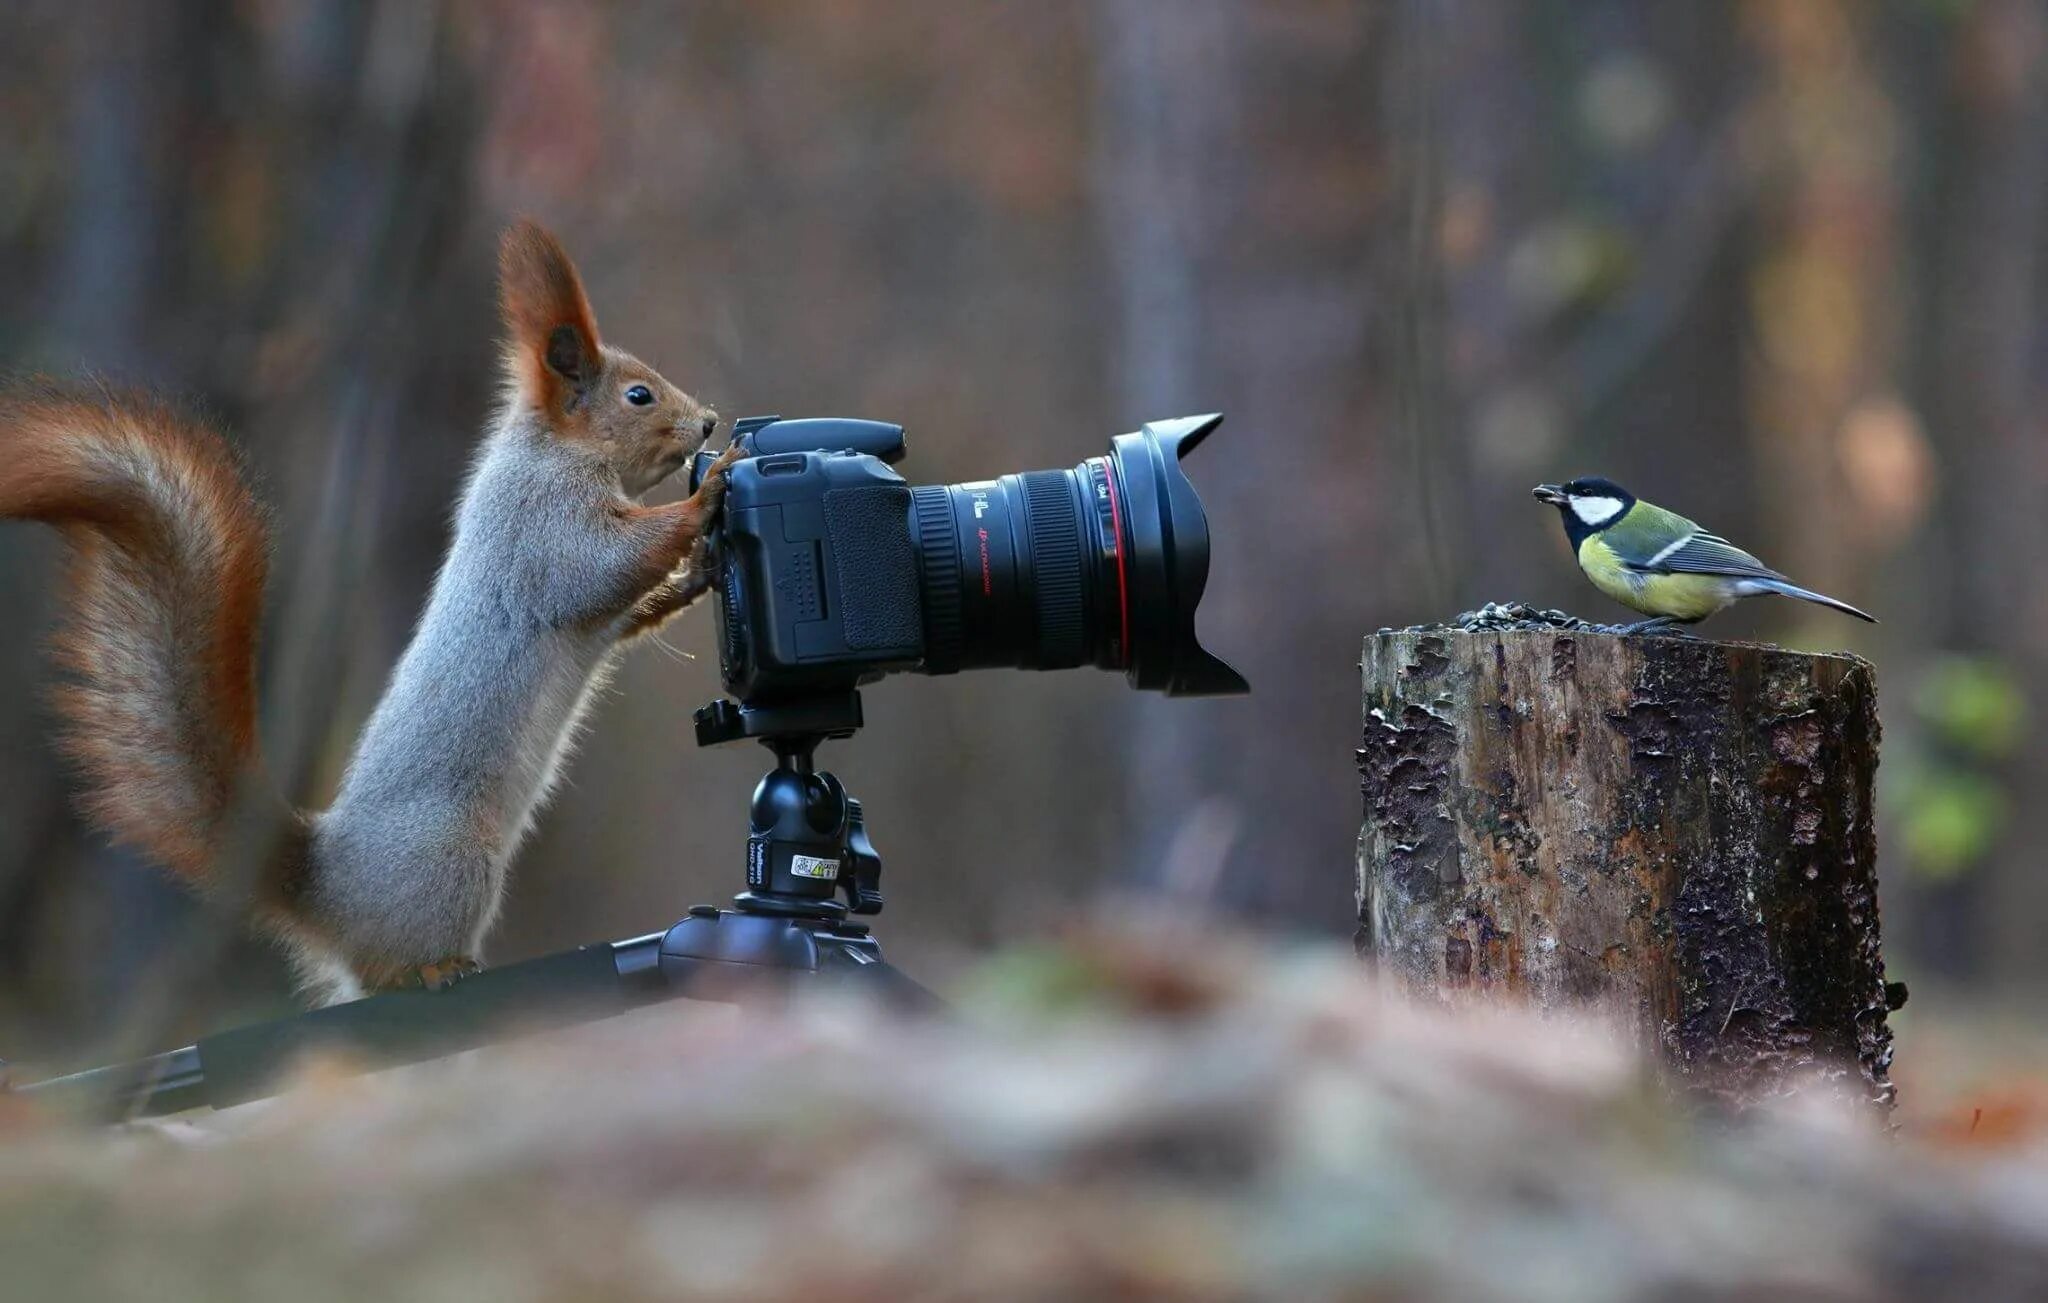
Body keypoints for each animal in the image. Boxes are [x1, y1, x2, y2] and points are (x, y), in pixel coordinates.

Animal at [0, 219, 737, 1003]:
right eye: (638, 395)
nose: (709, 422)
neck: (553, 452)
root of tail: (329, 892)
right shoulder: (541, 526)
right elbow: (603, 566)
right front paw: (708, 494)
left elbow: (626, 610)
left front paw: (700, 572)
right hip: (453, 860)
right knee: (387, 968)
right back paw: (435, 968)